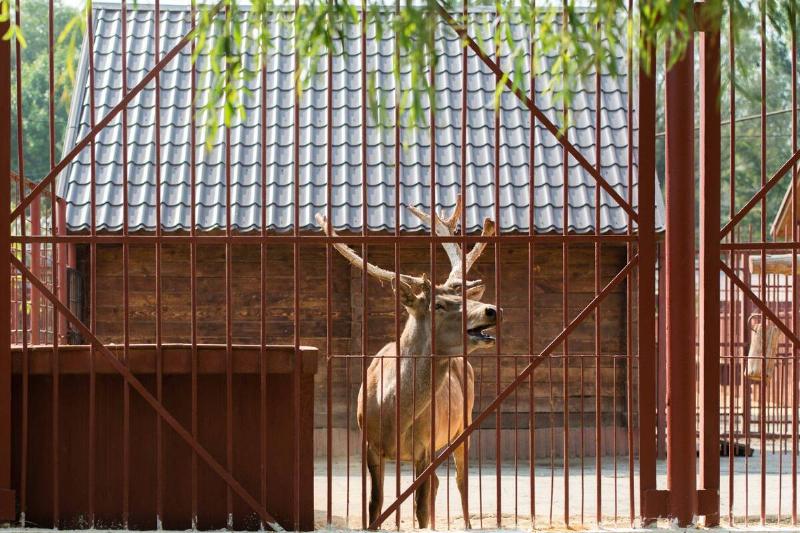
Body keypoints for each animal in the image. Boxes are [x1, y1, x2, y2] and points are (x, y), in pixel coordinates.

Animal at [316, 198, 497, 530]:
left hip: (463, 423)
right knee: (440, 483)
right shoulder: (370, 447)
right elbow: (375, 506)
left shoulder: (425, 446)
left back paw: (466, 523)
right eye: (439, 305)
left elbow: (420, 509)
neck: (392, 412)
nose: (492, 309)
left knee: (461, 481)